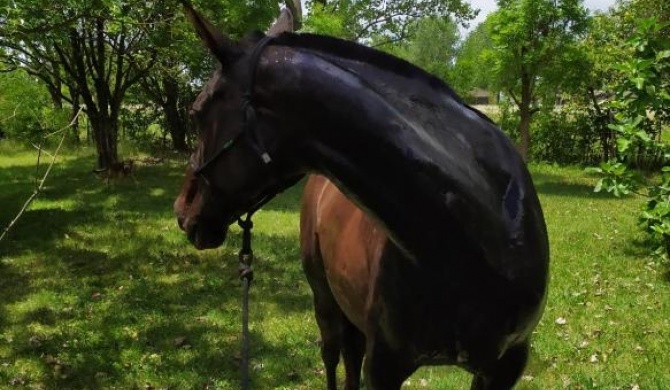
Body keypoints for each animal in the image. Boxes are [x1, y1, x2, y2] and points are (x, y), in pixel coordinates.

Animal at [173, 3, 552, 390]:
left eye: (196, 112)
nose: (182, 209)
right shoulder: (383, 363)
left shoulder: (504, 367)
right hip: (324, 298)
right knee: (333, 354)